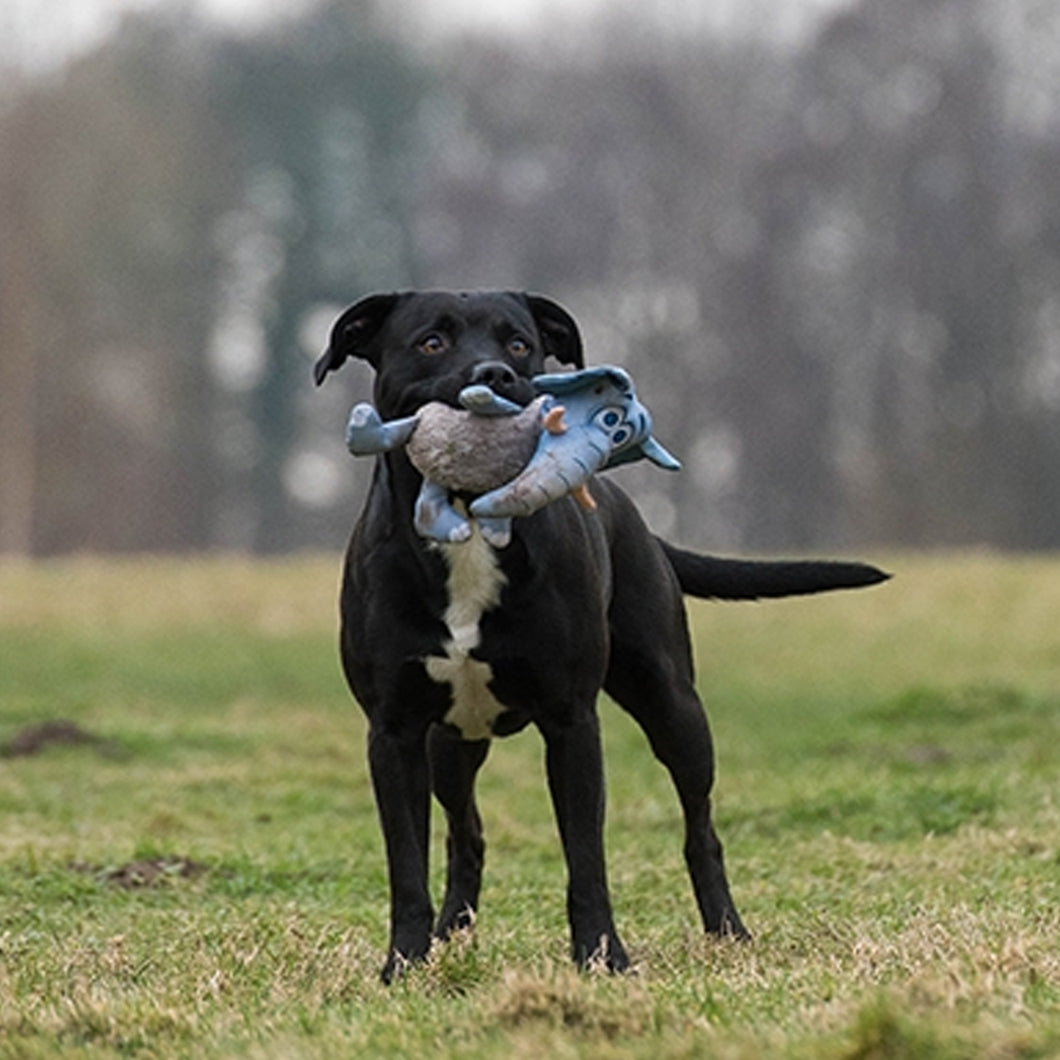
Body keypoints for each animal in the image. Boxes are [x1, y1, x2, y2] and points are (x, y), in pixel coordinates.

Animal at [311, 292, 886, 983]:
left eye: (520, 343)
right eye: (430, 342)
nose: (495, 376)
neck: (471, 524)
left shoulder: (572, 722)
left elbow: (586, 856)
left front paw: (603, 958)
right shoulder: (394, 732)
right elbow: (406, 865)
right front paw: (404, 964)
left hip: (673, 706)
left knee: (701, 825)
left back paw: (727, 930)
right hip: (451, 742)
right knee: (464, 830)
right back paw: (452, 932)